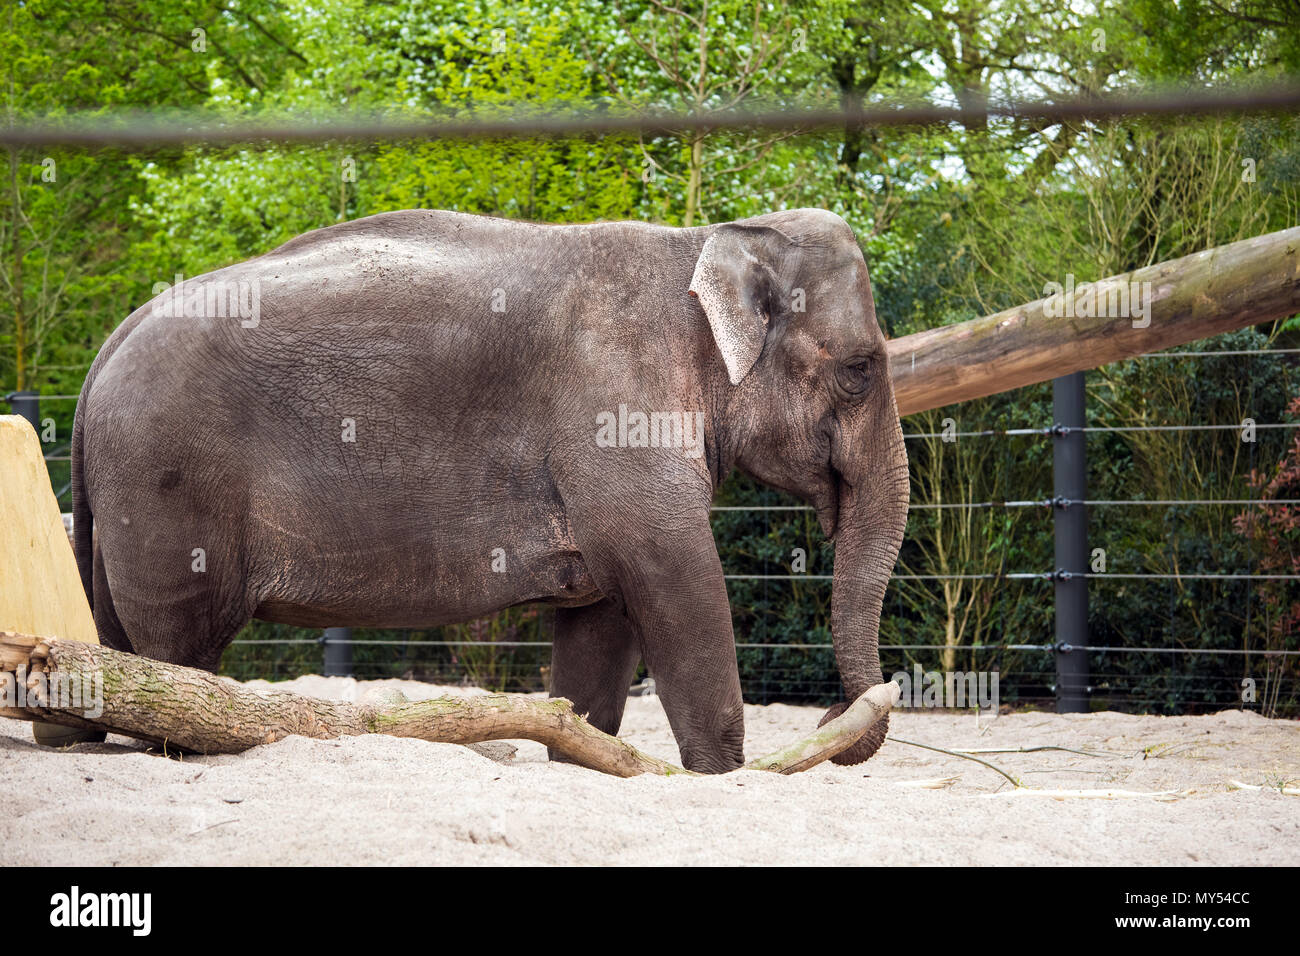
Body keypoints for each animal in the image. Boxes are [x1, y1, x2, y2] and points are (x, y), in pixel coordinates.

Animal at [71, 207, 910, 773]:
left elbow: (602, 621)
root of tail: (108, 344)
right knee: (181, 650)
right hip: (169, 486)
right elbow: (677, 576)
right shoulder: (617, 420)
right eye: (861, 369)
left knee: (120, 648)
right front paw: (723, 775)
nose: (840, 706)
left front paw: (584, 760)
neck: (702, 238)